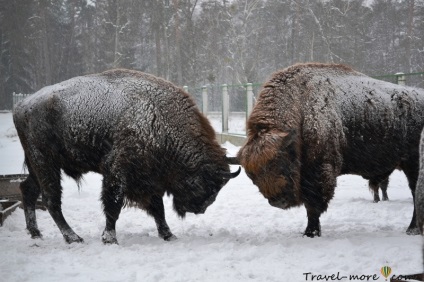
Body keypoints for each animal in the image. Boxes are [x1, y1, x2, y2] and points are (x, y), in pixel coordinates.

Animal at [13, 69, 240, 245]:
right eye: (207, 184)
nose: (200, 208)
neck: (159, 119)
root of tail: (22, 106)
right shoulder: (117, 171)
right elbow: (113, 204)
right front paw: (110, 238)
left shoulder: (150, 179)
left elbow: (158, 208)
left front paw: (168, 235)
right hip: (45, 163)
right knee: (51, 199)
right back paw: (73, 238)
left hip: (37, 166)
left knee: (28, 190)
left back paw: (36, 233)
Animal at [238, 62, 424, 237]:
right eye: (252, 176)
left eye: (283, 165)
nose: (279, 202)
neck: (299, 105)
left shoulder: (320, 172)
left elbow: (313, 207)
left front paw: (311, 233)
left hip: (413, 165)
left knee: (415, 193)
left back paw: (412, 229)